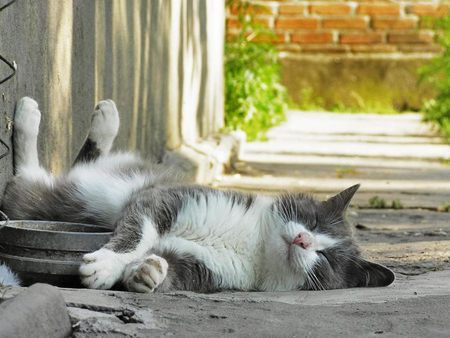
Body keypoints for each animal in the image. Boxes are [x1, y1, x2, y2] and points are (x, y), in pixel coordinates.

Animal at [0, 96, 394, 292]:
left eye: (325, 259)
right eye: (311, 221)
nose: (301, 239)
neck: (255, 245)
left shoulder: (210, 271)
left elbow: (172, 271)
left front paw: (147, 273)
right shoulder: (167, 198)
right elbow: (137, 234)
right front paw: (110, 263)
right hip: (64, 195)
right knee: (30, 178)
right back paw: (38, 116)